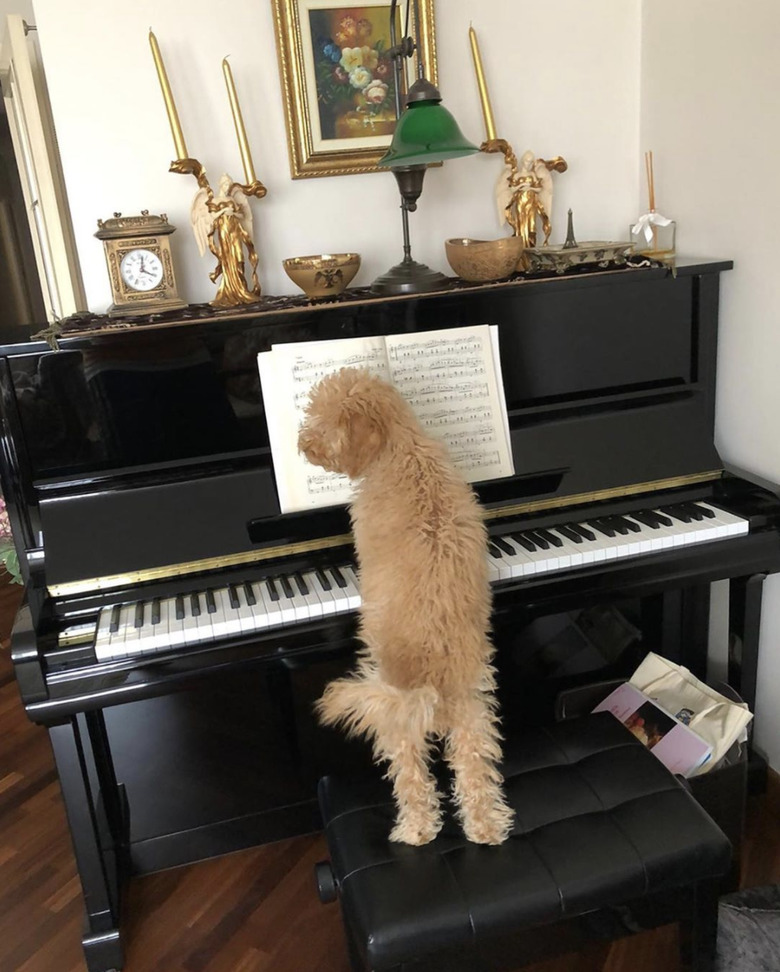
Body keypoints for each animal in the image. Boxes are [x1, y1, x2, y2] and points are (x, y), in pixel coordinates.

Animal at [298, 368, 512, 848]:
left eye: (321, 421)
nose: (302, 445)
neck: (401, 446)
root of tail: (435, 684)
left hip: (393, 718)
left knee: (414, 780)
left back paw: (415, 830)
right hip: (475, 712)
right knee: (476, 774)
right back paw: (486, 828)